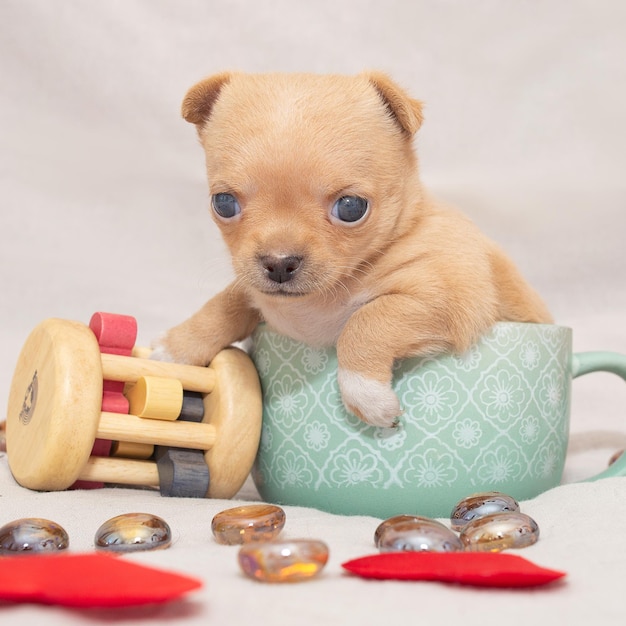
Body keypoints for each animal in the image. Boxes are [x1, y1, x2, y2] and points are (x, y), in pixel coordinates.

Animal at [152, 70, 552, 426]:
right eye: (223, 204)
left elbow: (368, 320)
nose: (279, 263)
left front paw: (366, 393)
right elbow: (223, 304)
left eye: (350, 208)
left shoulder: (447, 296)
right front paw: (174, 349)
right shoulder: (256, 291)